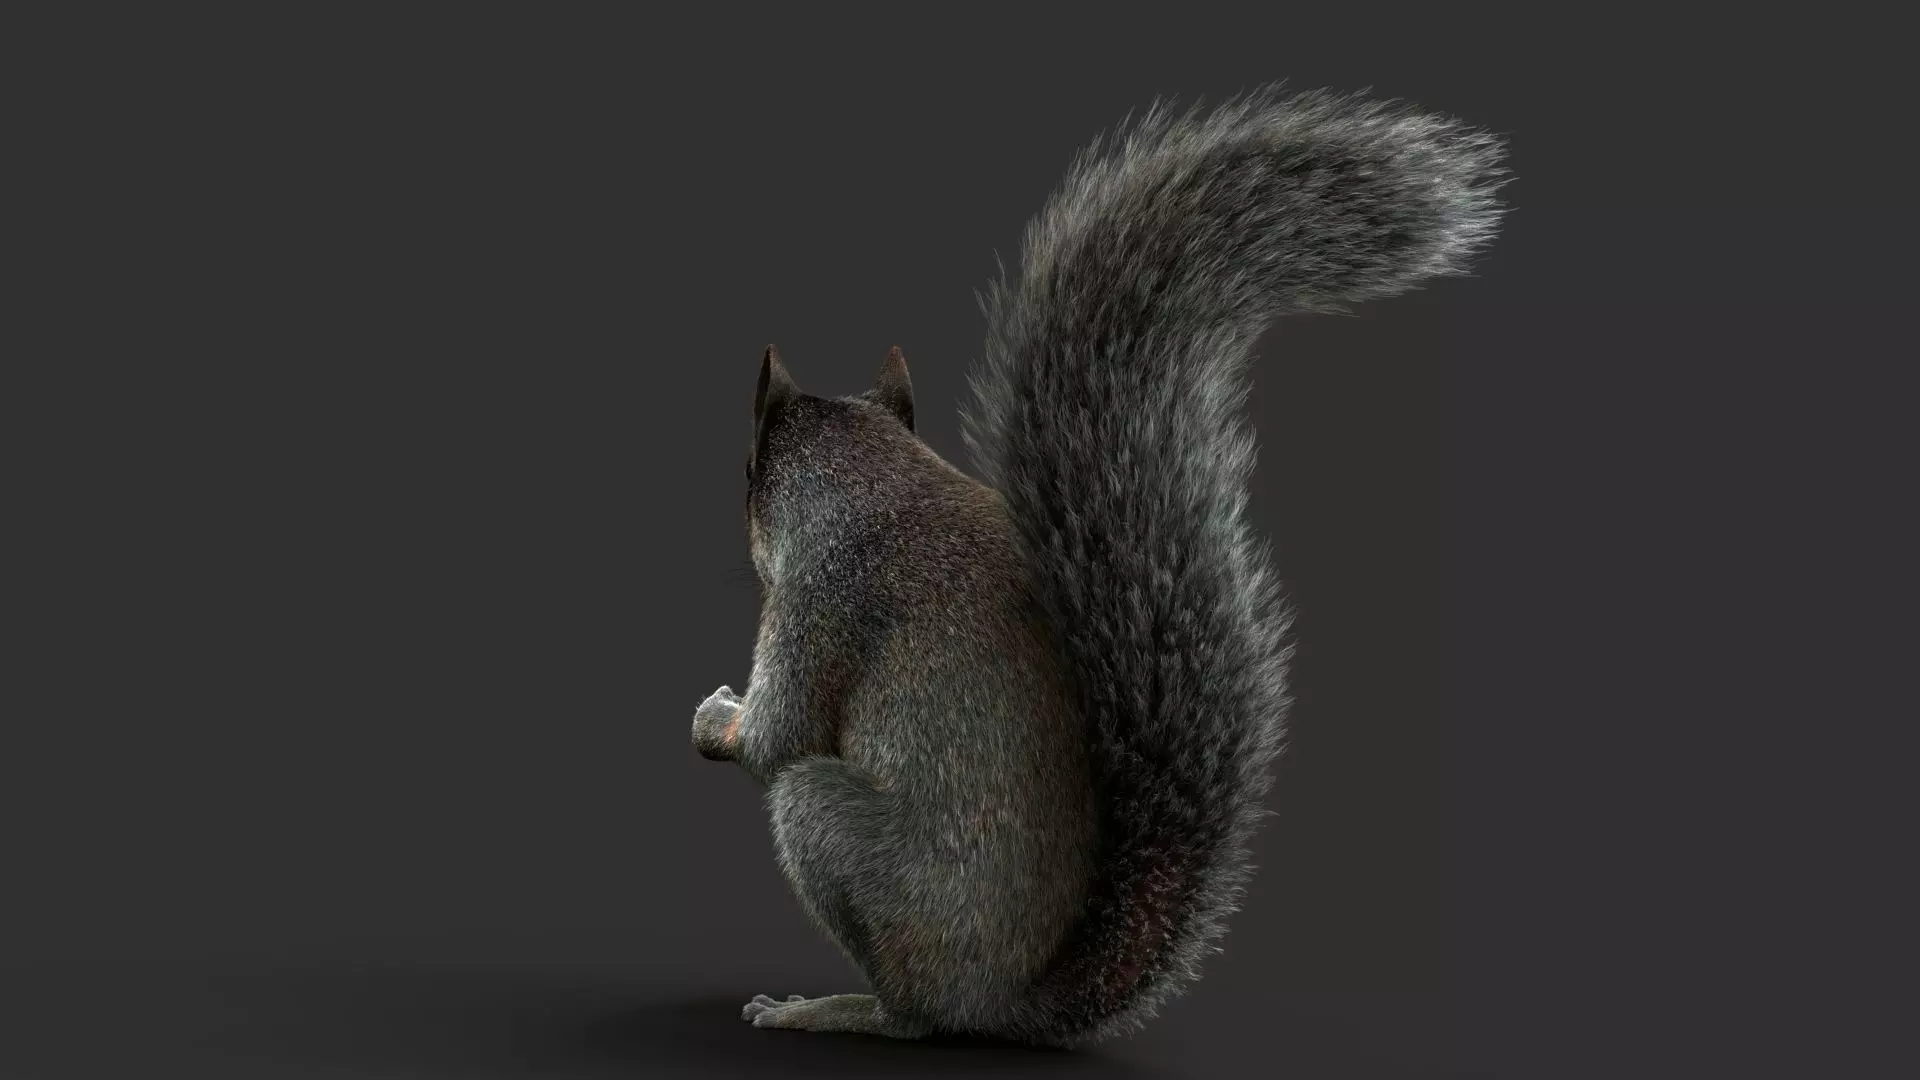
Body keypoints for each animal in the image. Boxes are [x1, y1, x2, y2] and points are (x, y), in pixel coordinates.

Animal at [689, 86, 1506, 1047]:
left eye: (746, 474)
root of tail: (1005, 1002)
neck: (874, 481)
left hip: (835, 836)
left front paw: (719, 716)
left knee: (908, 1004)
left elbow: (777, 737)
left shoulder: (814, 599)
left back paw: (832, 1009)